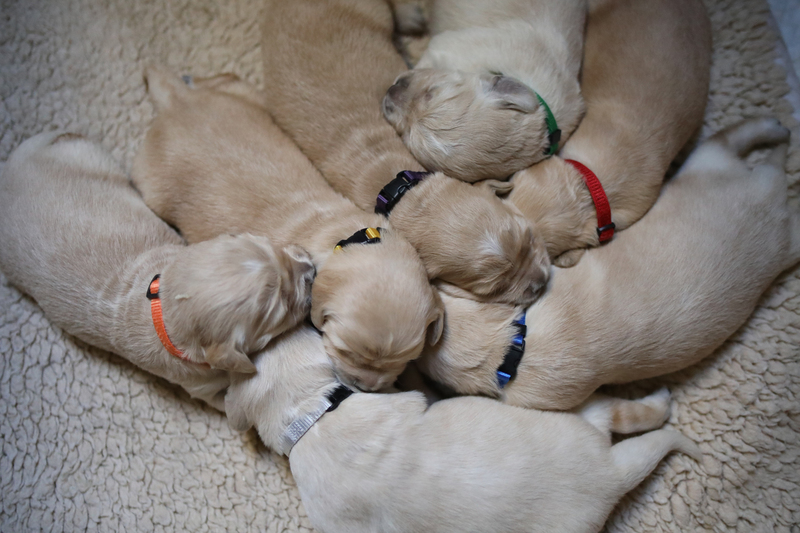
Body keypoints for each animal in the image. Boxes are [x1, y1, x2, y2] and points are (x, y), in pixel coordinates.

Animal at [0, 132, 315, 410]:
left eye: (270, 245)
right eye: (283, 305)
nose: (312, 268)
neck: (161, 306)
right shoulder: (200, 386)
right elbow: (224, 399)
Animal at [131, 67, 443, 392]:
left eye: (407, 358)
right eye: (345, 351)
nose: (366, 387)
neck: (351, 237)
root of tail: (176, 103)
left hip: (246, 100)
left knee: (225, 81)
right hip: (150, 183)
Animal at [417, 117, 800, 411]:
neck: (509, 348)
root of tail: (779, 199)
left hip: (707, 163)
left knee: (736, 138)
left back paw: (777, 128)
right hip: (755, 207)